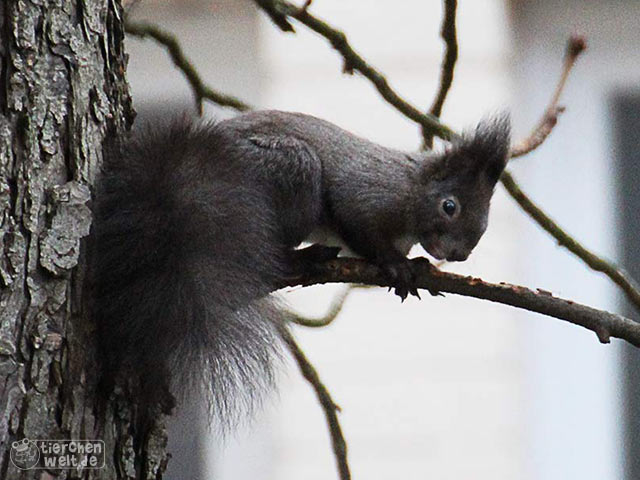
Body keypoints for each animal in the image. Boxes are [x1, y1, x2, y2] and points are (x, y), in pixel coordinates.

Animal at [90, 110, 510, 426]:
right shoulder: (366, 195)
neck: (411, 188)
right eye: (449, 206)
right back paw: (304, 257)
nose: (459, 255)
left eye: (486, 222)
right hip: (288, 173)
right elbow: (363, 233)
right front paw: (396, 265)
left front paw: (417, 264)